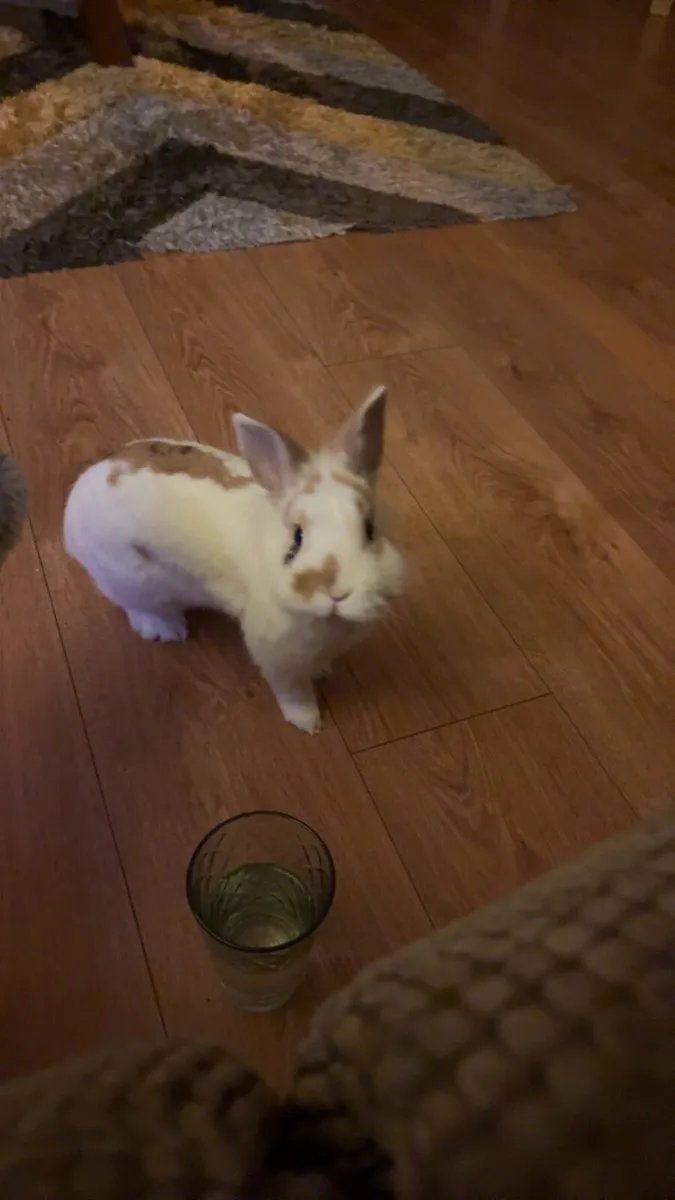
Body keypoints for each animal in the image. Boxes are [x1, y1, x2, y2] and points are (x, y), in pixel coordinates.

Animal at [63, 387, 404, 734]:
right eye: (296, 538)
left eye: (370, 529)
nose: (337, 592)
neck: (328, 623)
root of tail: (77, 499)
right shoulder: (276, 656)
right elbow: (292, 692)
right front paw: (308, 722)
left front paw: (322, 672)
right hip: (133, 581)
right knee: (136, 607)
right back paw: (167, 629)